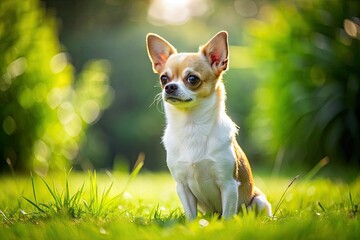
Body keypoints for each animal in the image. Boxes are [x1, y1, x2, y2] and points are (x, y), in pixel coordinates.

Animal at [145, 30, 272, 219]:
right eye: (163, 78)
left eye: (192, 78)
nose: (169, 87)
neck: (192, 125)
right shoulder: (182, 186)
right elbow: (191, 215)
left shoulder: (228, 184)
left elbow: (227, 215)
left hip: (259, 201)